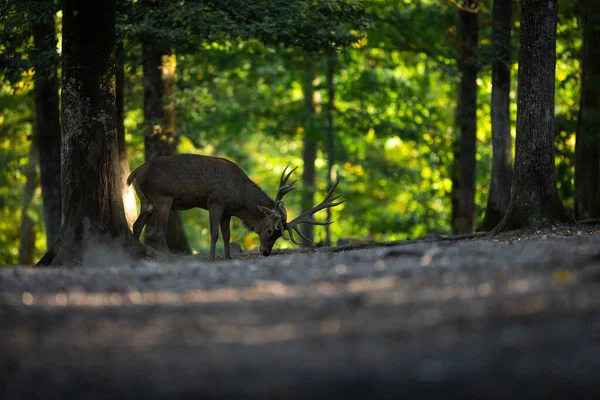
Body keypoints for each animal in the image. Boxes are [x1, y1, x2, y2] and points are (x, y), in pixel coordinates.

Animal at [126, 152, 342, 260]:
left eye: (279, 234)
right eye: (270, 230)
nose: (266, 252)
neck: (239, 200)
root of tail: (135, 172)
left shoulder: (227, 212)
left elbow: (227, 235)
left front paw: (228, 257)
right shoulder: (215, 202)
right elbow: (214, 233)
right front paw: (211, 258)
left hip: (147, 202)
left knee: (136, 226)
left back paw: (133, 254)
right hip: (162, 198)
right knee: (159, 232)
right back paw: (169, 258)